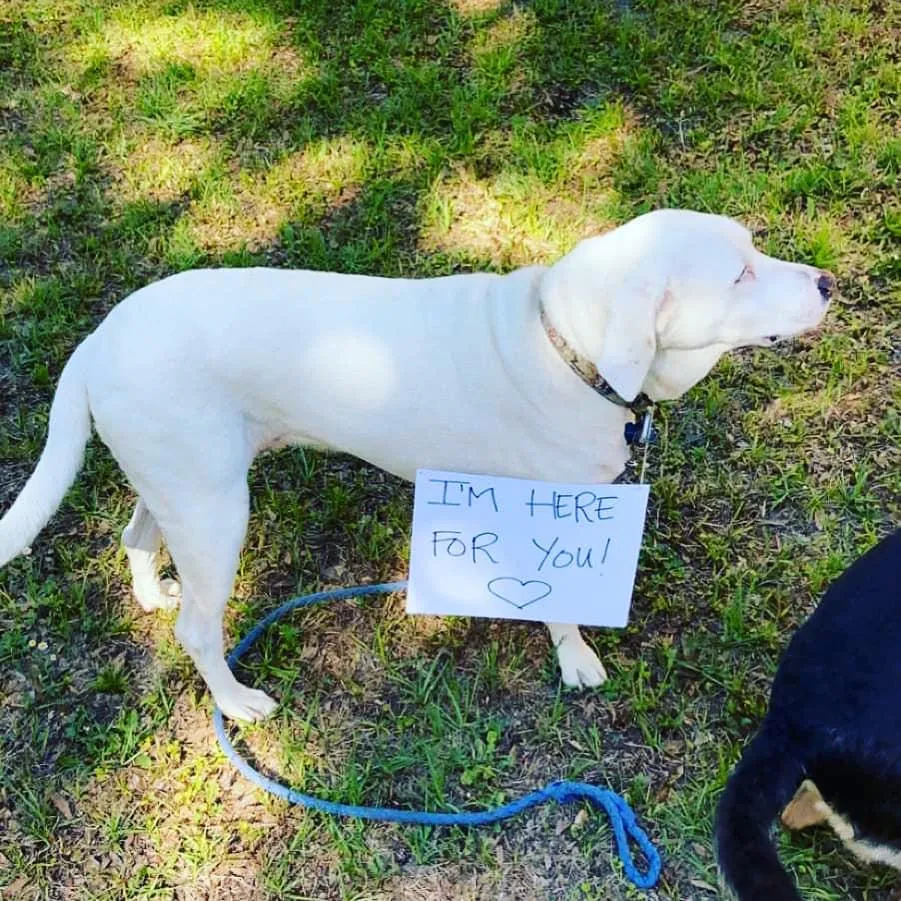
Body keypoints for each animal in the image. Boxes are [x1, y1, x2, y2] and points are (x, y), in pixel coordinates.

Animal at [0, 209, 828, 716]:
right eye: (738, 275)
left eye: (754, 248)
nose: (826, 281)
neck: (563, 342)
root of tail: (97, 340)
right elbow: (560, 608)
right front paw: (574, 661)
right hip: (214, 513)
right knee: (199, 630)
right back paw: (236, 702)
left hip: (180, 485)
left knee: (136, 536)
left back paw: (150, 593)